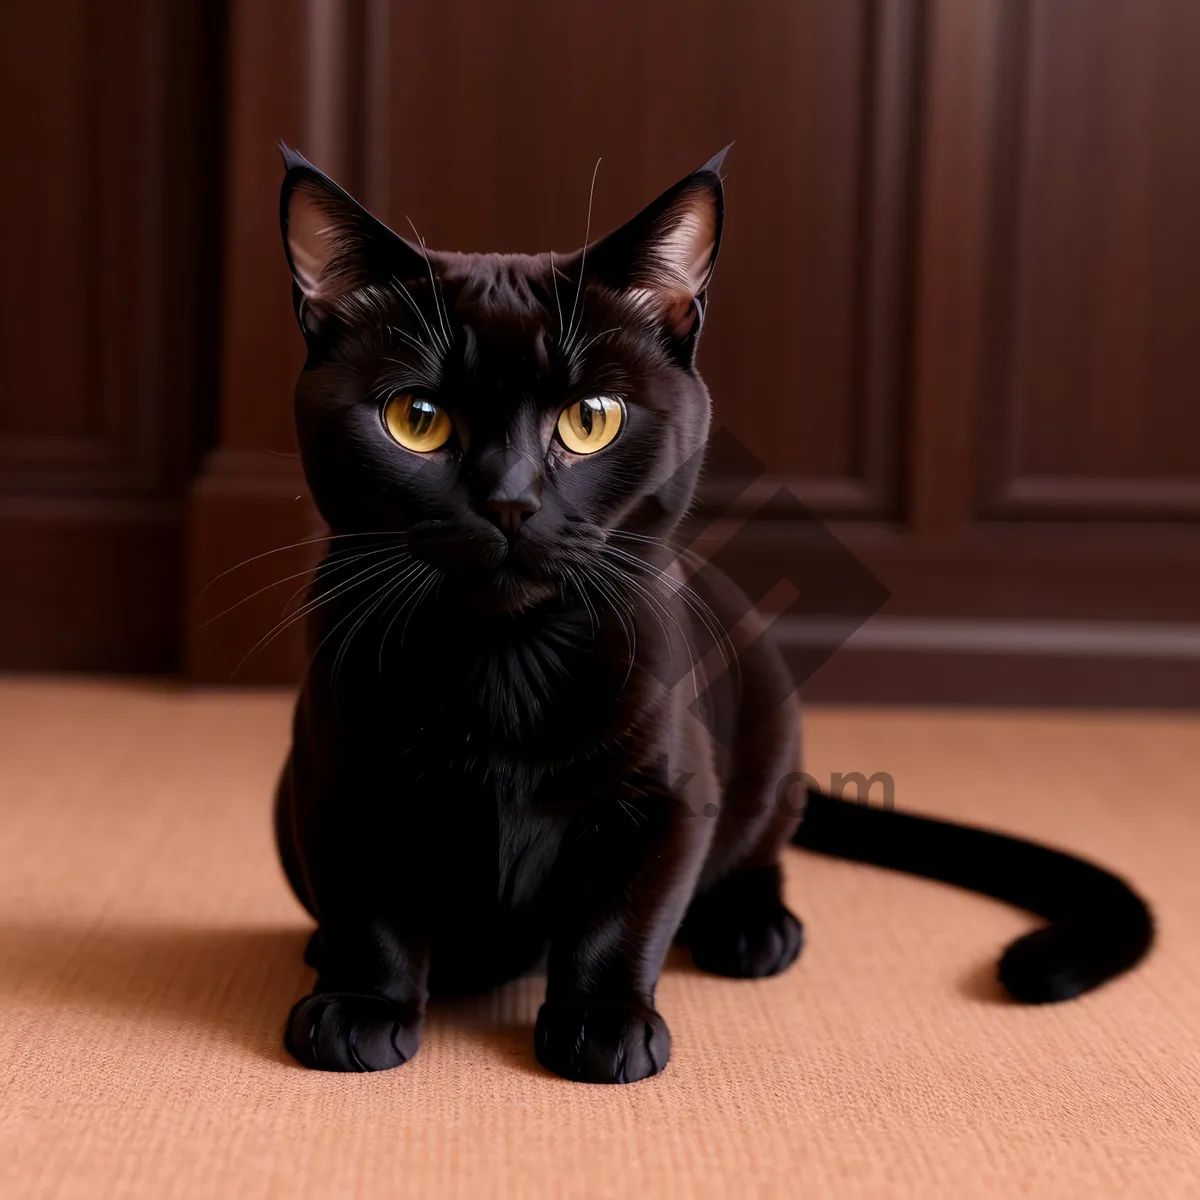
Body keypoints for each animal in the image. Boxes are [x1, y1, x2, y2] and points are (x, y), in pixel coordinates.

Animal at [272, 145, 1152, 1084]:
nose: (510, 501)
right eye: (417, 420)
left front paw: (603, 1024)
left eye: (590, 420)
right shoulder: (336, 778)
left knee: (760, 849)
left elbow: (619, 920)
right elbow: (369, 907)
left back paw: (752, 930)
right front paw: (359, 1006)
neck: (506, 663)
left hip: (770, 734)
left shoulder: (670, 797)